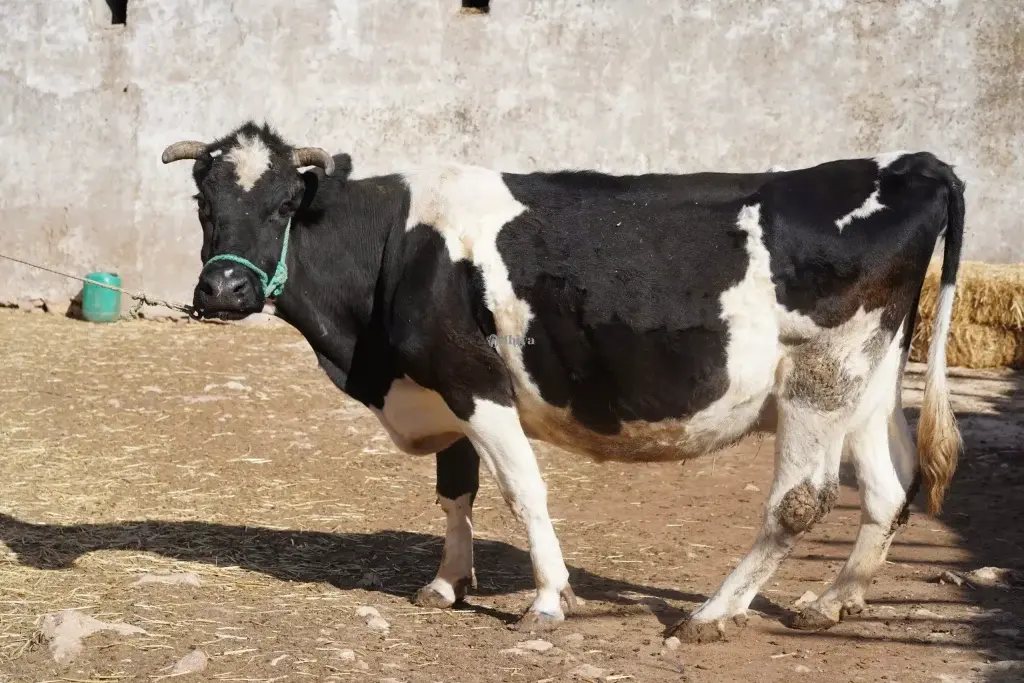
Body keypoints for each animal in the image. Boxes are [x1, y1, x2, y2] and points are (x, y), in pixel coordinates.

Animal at [157, 124, 958, 647]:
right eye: (203, 205)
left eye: (285, 205)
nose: (222, 289)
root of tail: (907, 165)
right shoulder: (443, 387)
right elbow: (456, 490)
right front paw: (447, 583)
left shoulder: (474, 380)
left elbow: (523, 492)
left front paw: (546, 599)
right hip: (870, 377)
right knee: (888, 487)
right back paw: (832, 601)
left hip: (818, 379)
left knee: (801, 502)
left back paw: (712, 613)